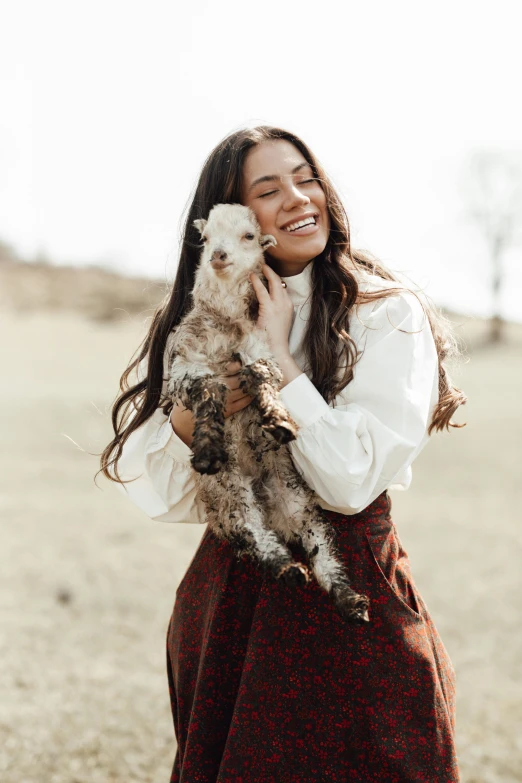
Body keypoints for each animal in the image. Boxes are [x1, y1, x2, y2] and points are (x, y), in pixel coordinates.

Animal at [167, 202, 370, 624]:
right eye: (205, 237)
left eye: (248, 236)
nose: (219, 256)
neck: (227, 322)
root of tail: (269, 506)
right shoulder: (187, 367)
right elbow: (210, 392)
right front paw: (208, 450)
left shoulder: (260, 348)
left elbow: (261, 379)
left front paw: (278, 423)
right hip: (231, 497)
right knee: (257, 538)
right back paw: (288, 570)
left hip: (298, 503)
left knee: (323, 553)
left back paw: (351, 601)